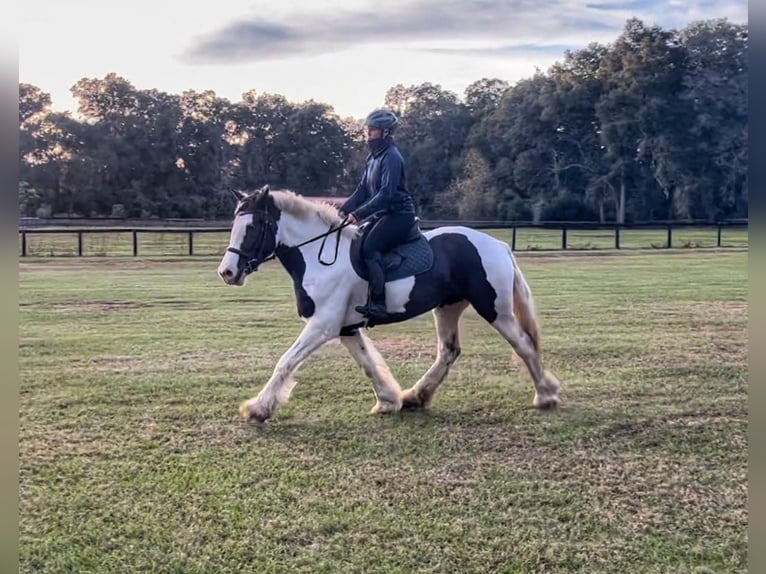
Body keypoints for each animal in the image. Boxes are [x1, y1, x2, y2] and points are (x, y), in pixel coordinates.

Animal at [218, 187, 564, 426]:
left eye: (252, 228)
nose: (227, 272)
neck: (319, 256)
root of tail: (498, 245)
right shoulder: (345, 328)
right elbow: (368, 364)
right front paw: (387, 399)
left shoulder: (322, 326)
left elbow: (285, 362)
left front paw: (258, 409)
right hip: (448, 307)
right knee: (448, 351)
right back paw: (416, 396)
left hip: (494, 309)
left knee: (523, 345)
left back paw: (546, 395)